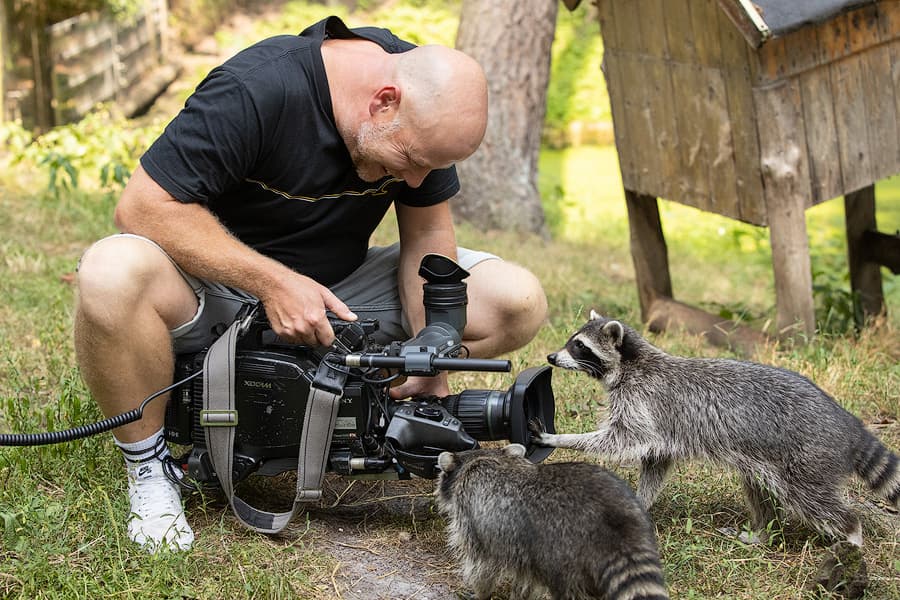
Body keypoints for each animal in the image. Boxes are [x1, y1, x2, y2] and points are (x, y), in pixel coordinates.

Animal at [436, 440, 668, 600]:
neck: (482, 459)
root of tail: (615, 527)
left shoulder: (475, 520)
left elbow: (481, 566)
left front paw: (480, 593)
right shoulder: (522, 551)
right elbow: (526, 580)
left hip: (562, 557)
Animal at [536, 312, 900, 548]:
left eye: (580, 346)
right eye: (572, 341)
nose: (551, 356)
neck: (632, 364)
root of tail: (846, 421)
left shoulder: (644, 401)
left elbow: (623, 440)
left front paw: (564, 438)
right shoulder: (661, 423)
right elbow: (656, 461)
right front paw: (640, 503)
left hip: (807, 461)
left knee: (815, 501)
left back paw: (851, 534)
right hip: (766, 463)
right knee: (761, 493)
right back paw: (763, 532)